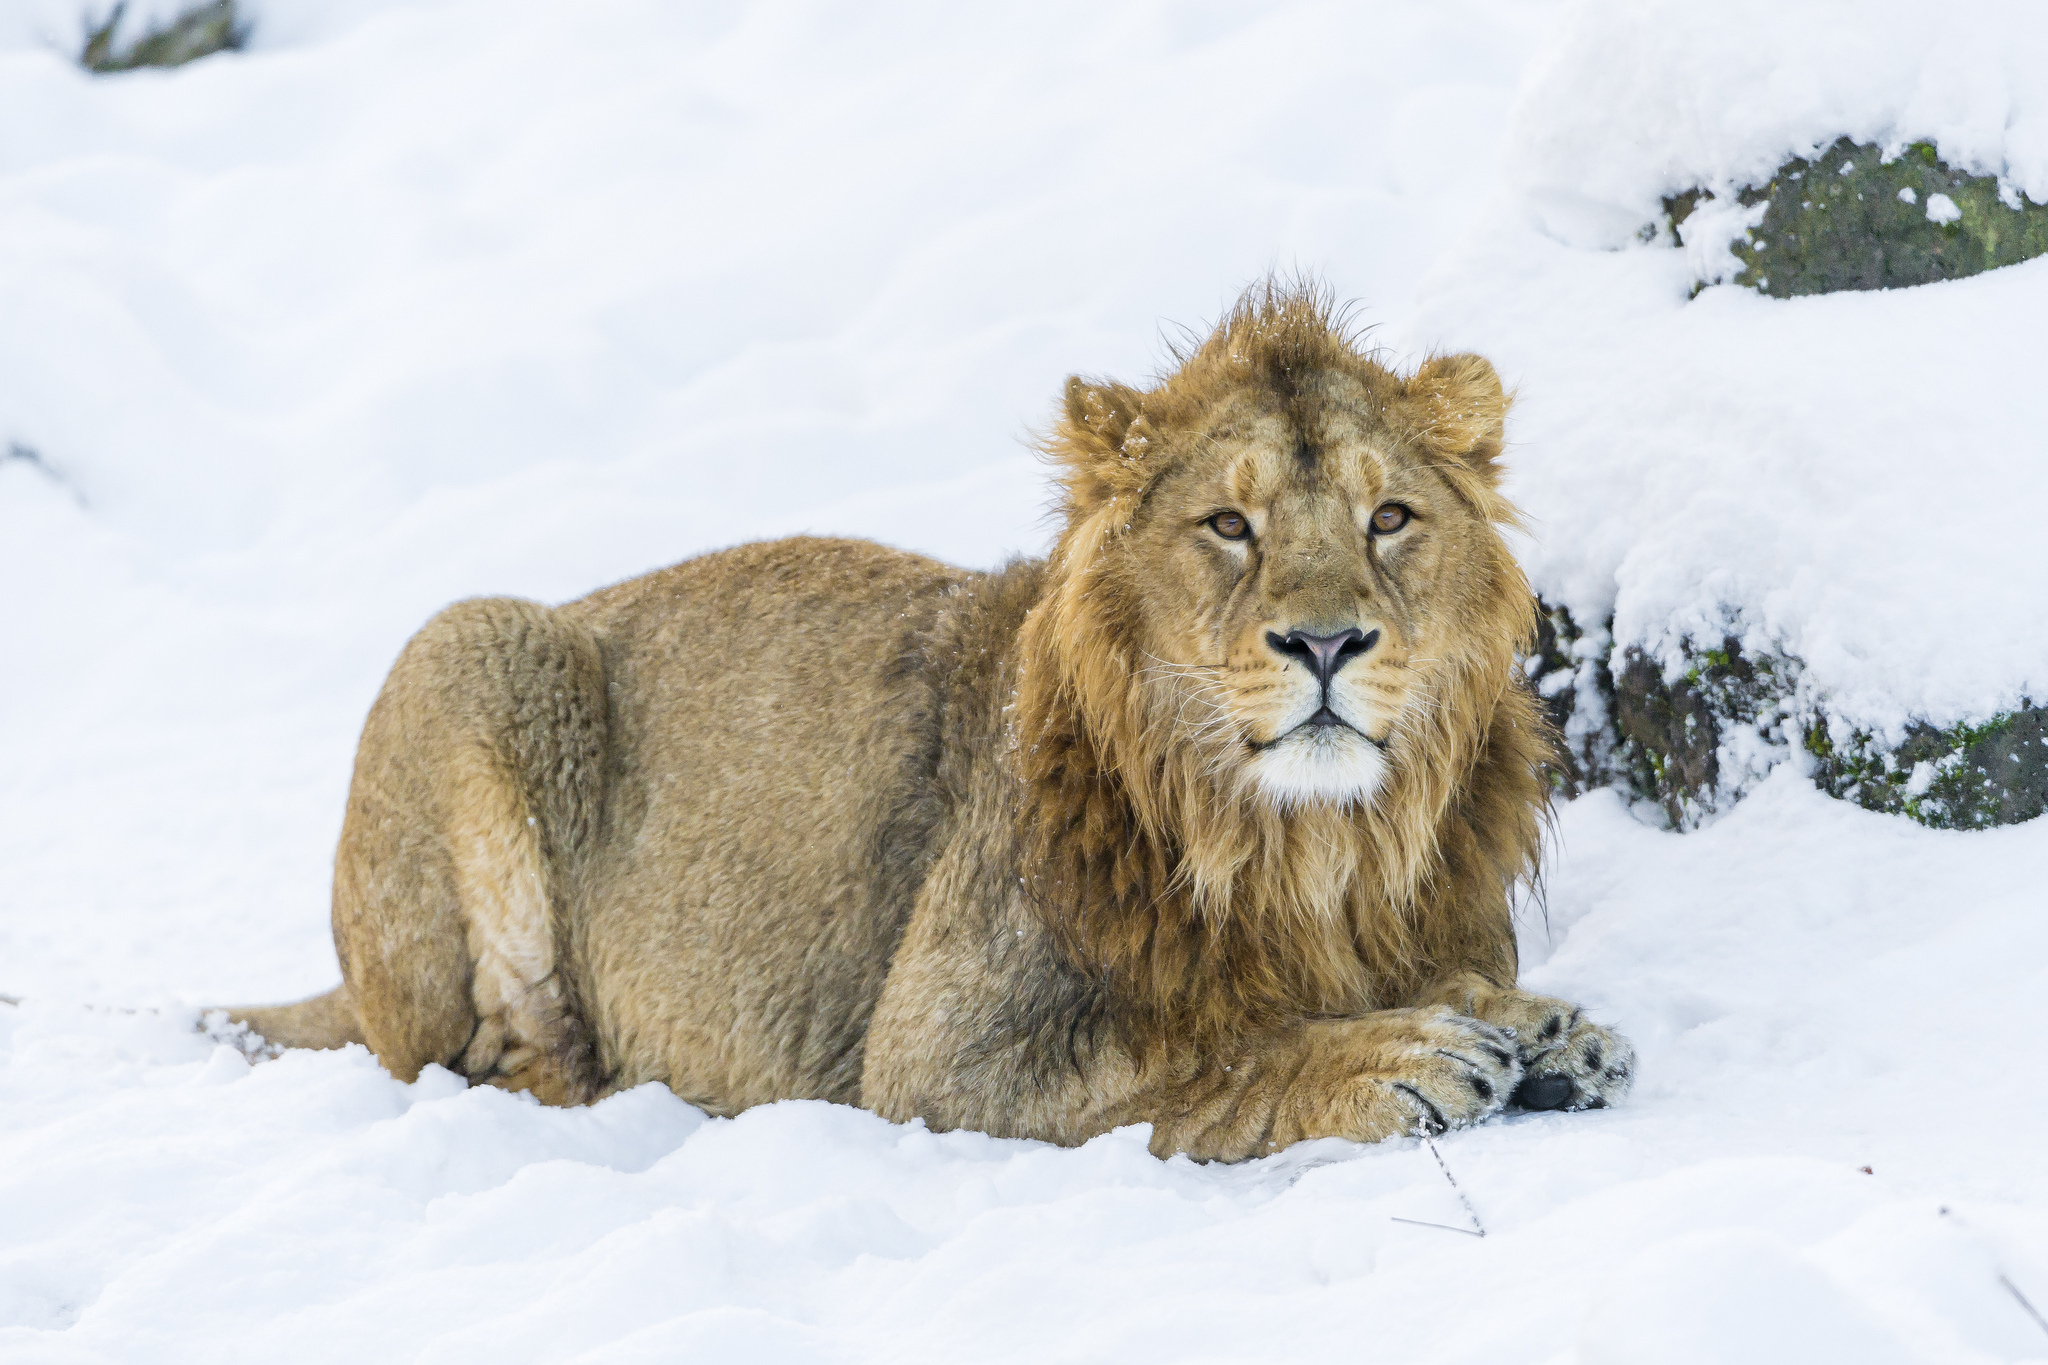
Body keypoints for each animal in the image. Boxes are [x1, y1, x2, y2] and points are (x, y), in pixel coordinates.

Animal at [235, 282, 1630, 1162]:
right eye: (1228, 525)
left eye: (1387, 516)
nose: (1328, 643)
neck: (1310, 849)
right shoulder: (935, 1062)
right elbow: (1202, 1058)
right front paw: (1394, 1056)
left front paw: (1538, 1028)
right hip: (472, 642)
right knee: (488, 1059)